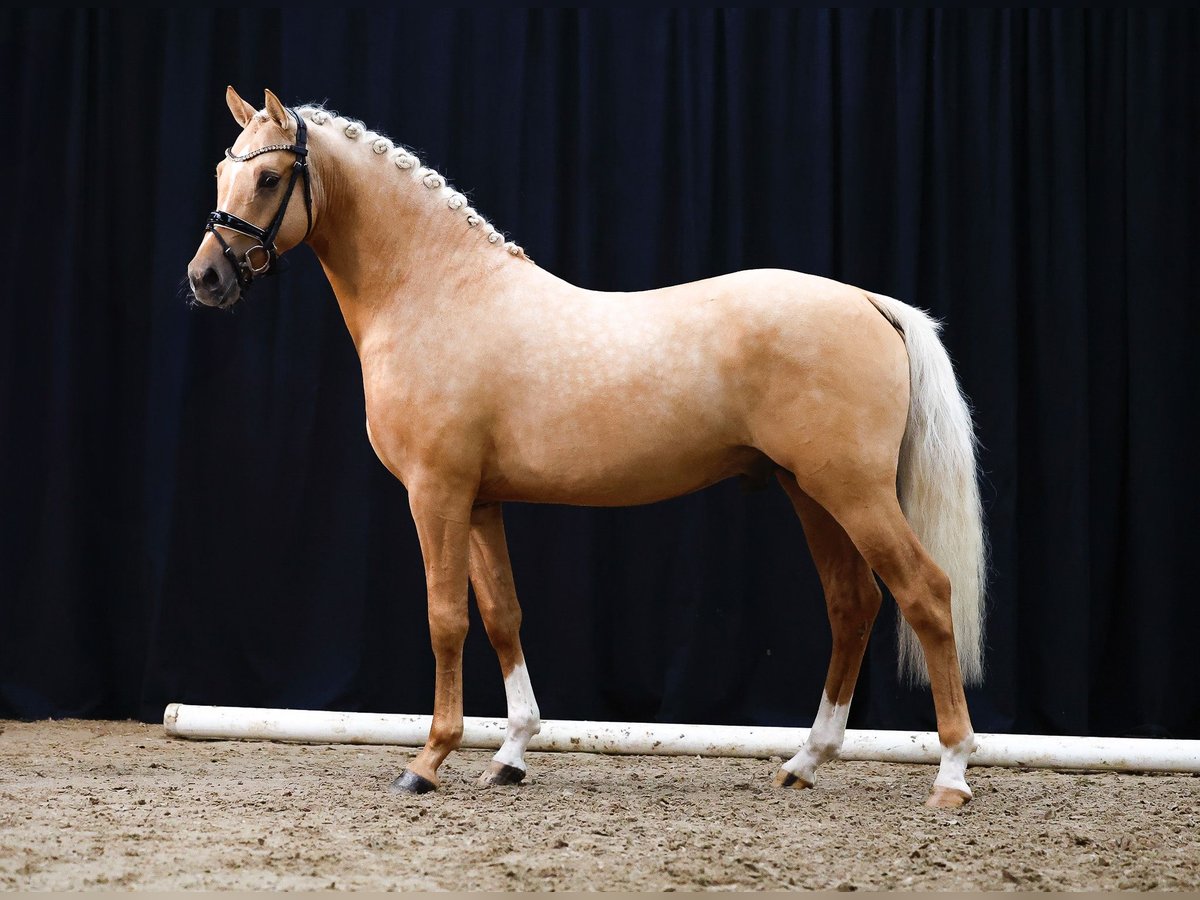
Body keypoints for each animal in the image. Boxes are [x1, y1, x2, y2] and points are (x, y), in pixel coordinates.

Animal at [189, 90, 984, 811]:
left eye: (268, 178)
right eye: (223, 171)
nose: (206, 278)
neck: (439, 293)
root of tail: (869, 302)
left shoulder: (436, 493)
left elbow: (445, 617)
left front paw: (429, 760)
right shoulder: (481, 501)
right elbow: (502, 615)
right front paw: (510, 754)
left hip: (853, 491)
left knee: (925, 593)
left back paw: (951, 773)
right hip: (809, 490)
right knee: (853, 605)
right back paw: (806, 761)